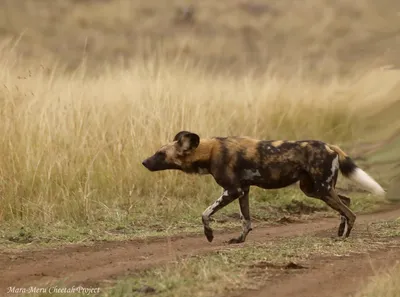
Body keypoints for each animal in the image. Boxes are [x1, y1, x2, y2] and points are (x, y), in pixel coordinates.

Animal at [142, 131, 386, 242]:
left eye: (160, 154)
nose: (144, 162)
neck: (209, 152)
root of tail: (330, 146)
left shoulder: (232, 191)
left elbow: (205, 213)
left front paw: (209, 235)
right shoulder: (243, 191)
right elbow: (246, 220)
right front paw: (240, 240)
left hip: (321, 190)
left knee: (350, 212)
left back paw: (344, 237)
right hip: (314, 189)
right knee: (346, 202)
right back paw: (339, 231)